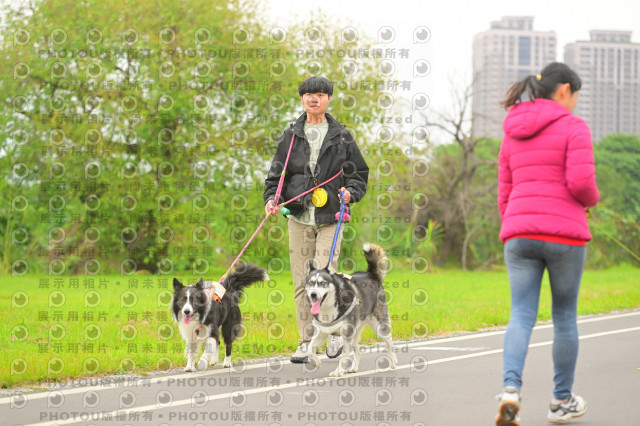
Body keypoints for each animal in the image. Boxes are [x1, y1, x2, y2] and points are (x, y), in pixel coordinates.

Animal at [304, 242, 397, 377]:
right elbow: (310, 349)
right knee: (357, 350)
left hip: (378, 327)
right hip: (355, 331)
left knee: (389, 340)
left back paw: (393, 361)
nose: (313, 294)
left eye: (323, 283)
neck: (329, 307)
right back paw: (353, 368)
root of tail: (371, 274)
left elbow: (343, 355)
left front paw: (338, 371)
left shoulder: (346, 334)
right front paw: (315, 362)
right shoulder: (321, 333)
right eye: (311, 283)